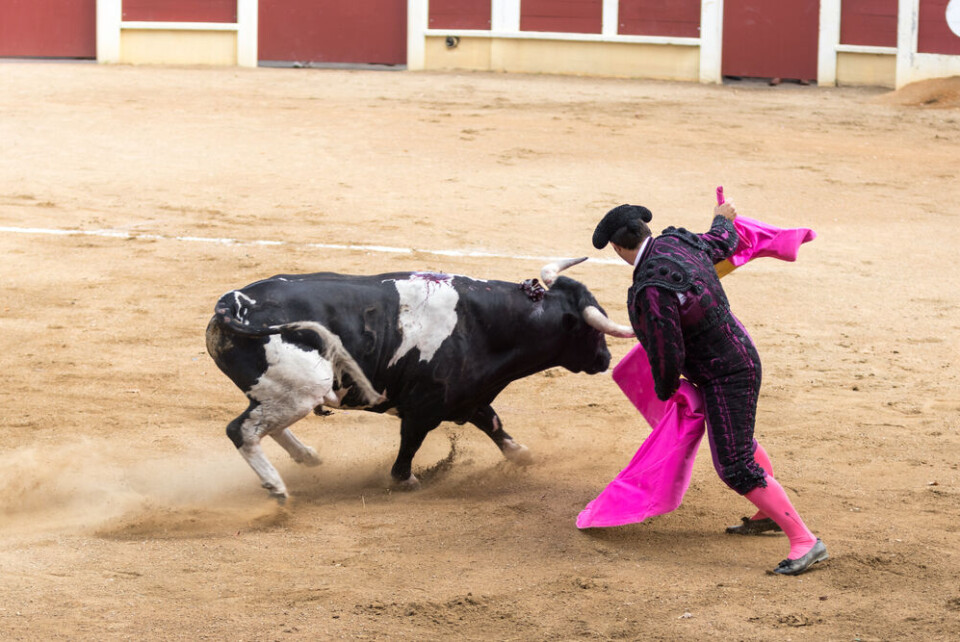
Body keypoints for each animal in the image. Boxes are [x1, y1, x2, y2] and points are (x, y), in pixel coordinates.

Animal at [204, 256, 632, 500]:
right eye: (591, 329)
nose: (605, 358)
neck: (483, 324)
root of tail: (232, 304)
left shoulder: (467, 396)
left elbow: (493, 423)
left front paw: (522, 455)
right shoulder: (425, 406)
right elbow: (410, 446)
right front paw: (405, 480)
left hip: (283, 391)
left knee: (264, 424)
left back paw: (306, 456)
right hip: (303, 389)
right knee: (241, 430)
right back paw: (277, 488)